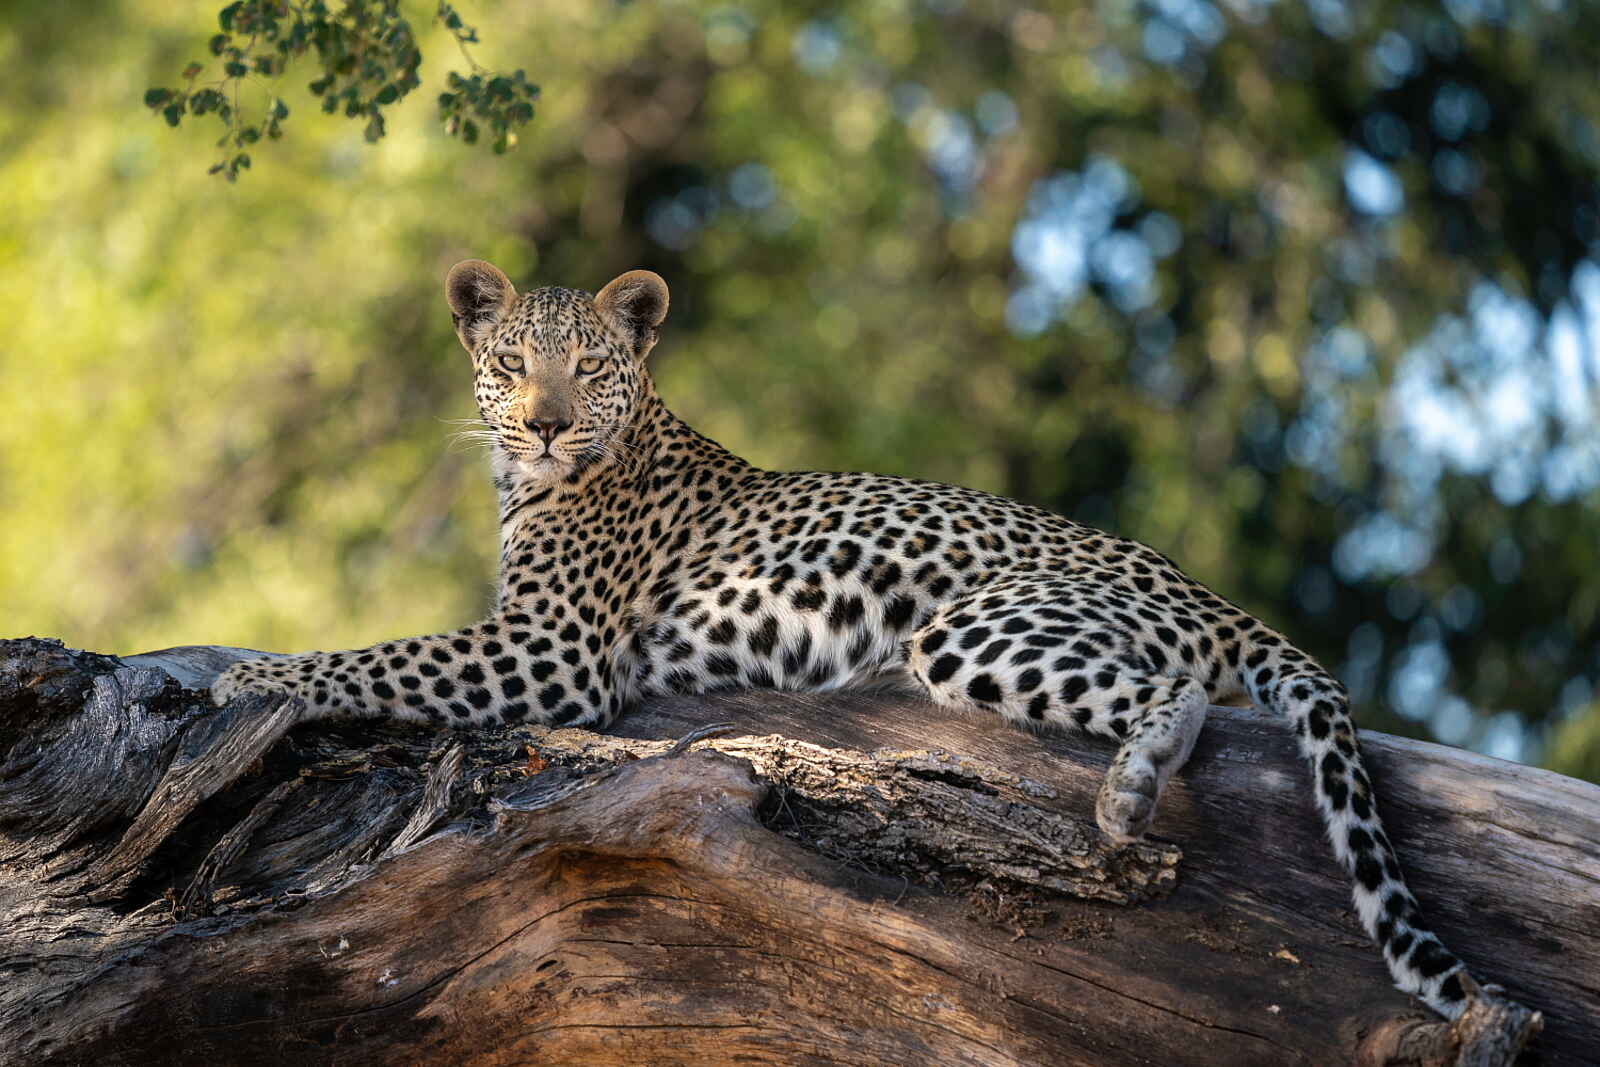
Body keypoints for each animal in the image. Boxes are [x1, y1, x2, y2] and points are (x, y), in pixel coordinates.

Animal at [214, 258, 1498, 1020]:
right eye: (509, 362)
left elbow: (377, 655)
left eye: (588, 367)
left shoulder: (550, 649)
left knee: (1173, 693)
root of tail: (1204, 587)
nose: (542, 424)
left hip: (974, 626)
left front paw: (248, 666)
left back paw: (1130, 790)